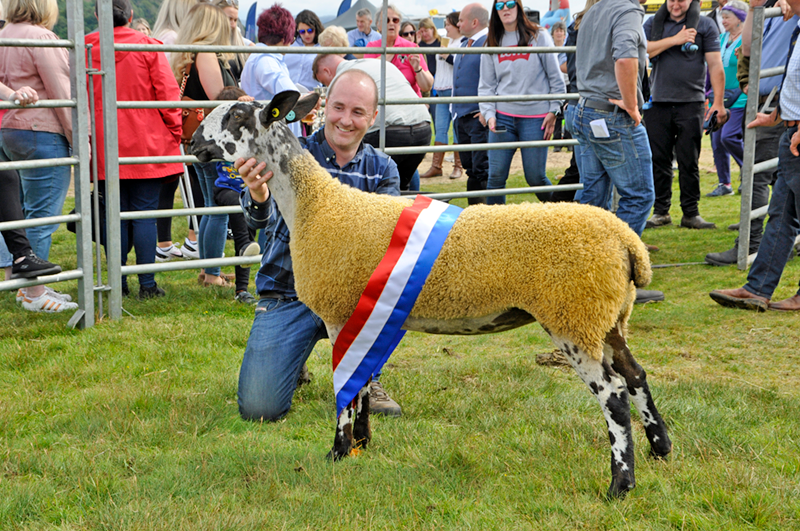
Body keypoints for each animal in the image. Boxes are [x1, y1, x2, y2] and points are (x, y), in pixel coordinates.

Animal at [191, 90, 672, 498]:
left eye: (237, 114)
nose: (193, 139)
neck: (316, 206)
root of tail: (627, 241)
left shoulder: (340, 313)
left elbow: (346, 388)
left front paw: (338, 451)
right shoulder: (362, 319)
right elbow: (360, 385)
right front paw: (362, 444)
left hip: (574, 316)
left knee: (613, 395)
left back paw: (620, 484)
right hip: (606, 317)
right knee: (636, 377)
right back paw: (660, 449)